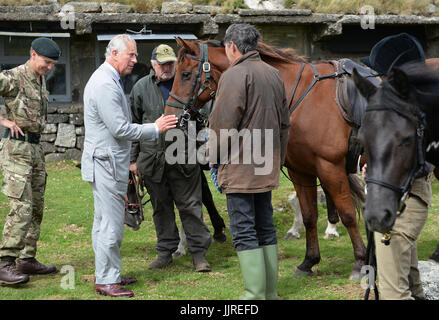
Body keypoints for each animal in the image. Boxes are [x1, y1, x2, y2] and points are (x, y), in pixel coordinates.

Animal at [165, 38, 368, 280]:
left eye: (186, 74)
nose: (170, 116)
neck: (303, 96)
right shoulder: (301, 170)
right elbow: (309, 215)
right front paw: (309, 261)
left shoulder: (331, 167)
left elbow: (348, 214)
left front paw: (360, 262)